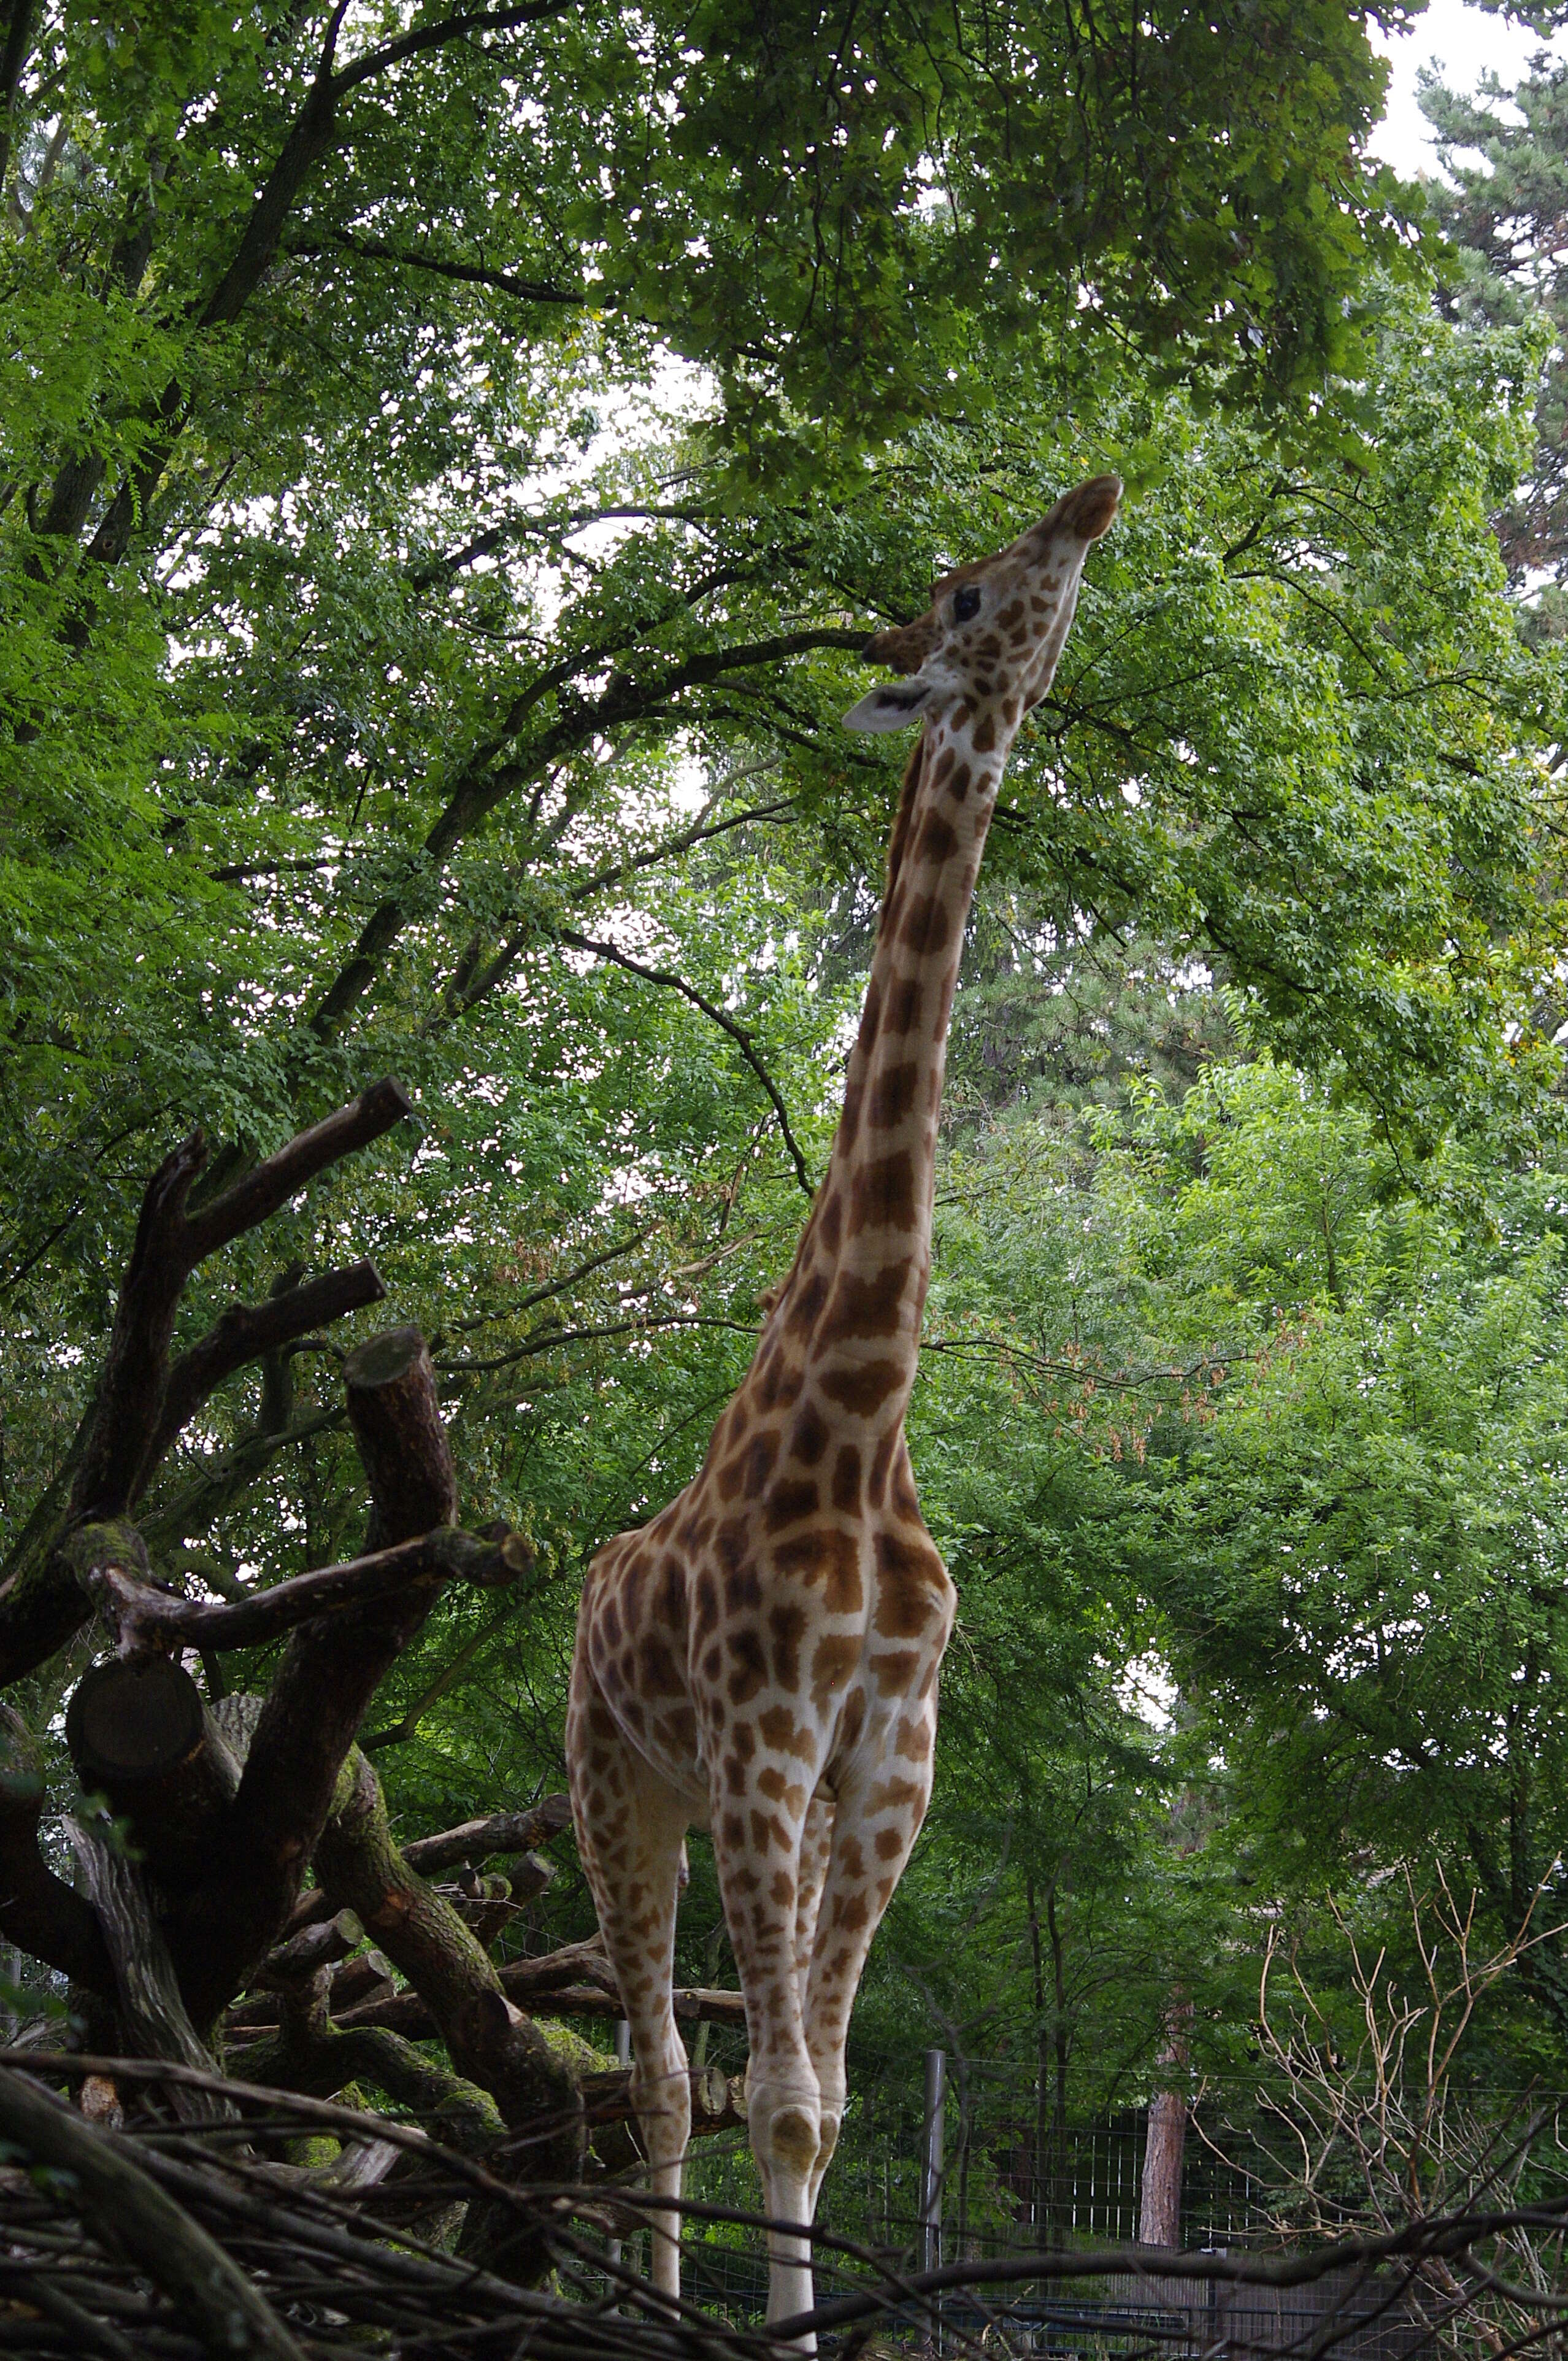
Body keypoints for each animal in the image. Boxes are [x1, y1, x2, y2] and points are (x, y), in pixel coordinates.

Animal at [569, 469, 1119, 2332]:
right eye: (962, 591)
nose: (1095, 495)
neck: (866, 1414)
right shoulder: (757, 1738)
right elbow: (771, 2094)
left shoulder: (887, 1755)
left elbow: (824, 2099)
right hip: (615, 1783)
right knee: (656, 2071)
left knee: (698, 2069)